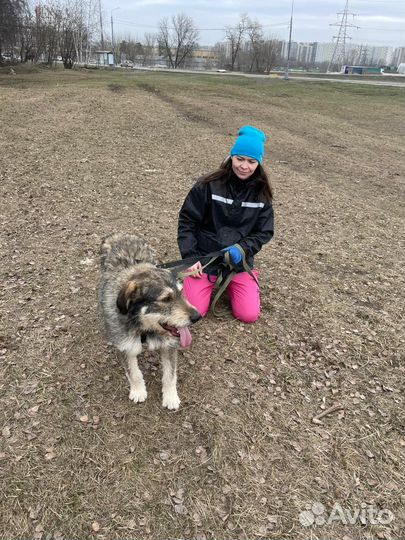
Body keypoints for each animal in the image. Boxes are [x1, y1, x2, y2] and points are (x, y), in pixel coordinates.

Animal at [97, 232, 200, 410]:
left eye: (181, 292)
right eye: (166, 299)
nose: (197, 316)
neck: (143, 326)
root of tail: (121, 235)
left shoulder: (169, 345)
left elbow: (170, 375)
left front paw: (170, 397)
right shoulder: (126, 345)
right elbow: (134, 372)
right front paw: (138, 391)